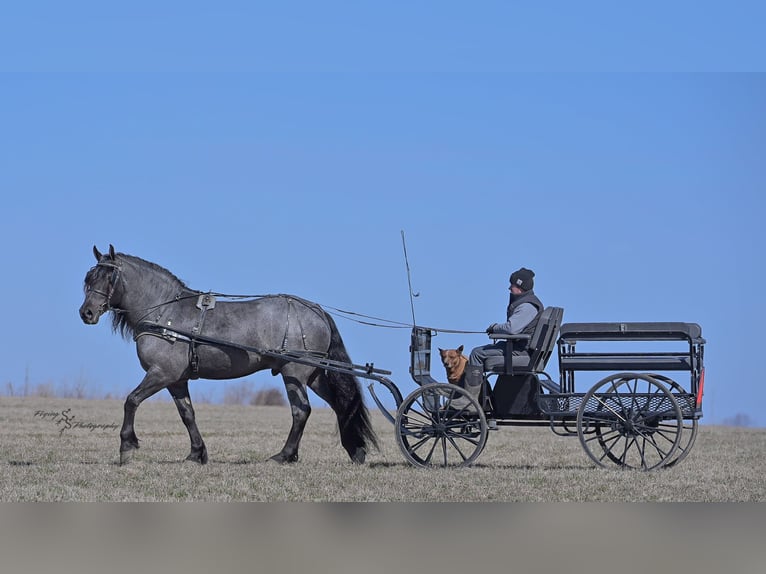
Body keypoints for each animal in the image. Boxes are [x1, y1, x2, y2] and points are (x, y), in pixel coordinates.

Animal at [79, 245, 378, 465]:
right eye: (89, 279)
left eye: (108, 278)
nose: (86, 313)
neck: (165, 314)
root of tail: (317, 310)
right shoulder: (176, 380)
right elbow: (187, 414)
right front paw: (196, 454)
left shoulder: (161, 374)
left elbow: (131, 401)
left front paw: (127, 446)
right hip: (313, 375)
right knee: (341, 405)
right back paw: (355, 451)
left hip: (294, 373)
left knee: (301, 411)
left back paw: (283, 456)